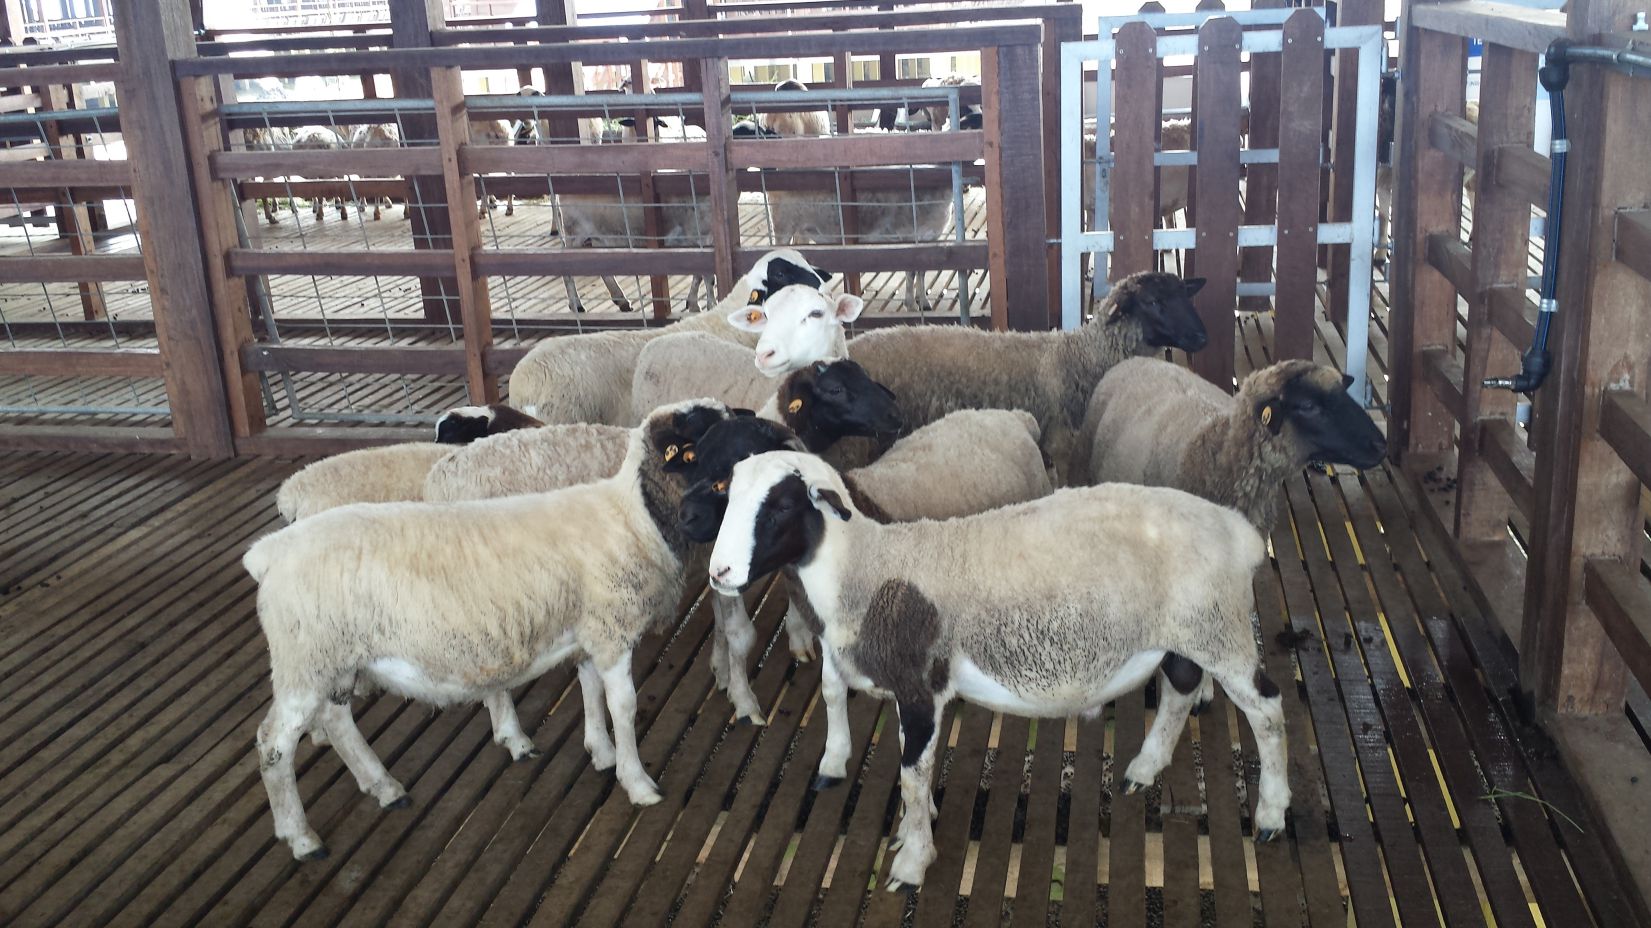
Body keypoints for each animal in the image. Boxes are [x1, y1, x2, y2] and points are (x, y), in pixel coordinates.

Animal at [246, 399, 741, 860]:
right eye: (702, 437)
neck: (635, 516)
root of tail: (268, 553)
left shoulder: (586, 628)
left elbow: (589, 688)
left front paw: (600, 751)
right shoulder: (611, 630)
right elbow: (624, 706)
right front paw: (637, 783)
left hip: (332, 658)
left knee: (336, 719)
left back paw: (384, 788)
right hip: (305, 659)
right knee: (274, 744)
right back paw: (301, 838)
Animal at [706, 450, 1288, 890]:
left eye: (781, 507)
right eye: (728, 497)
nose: (719, 573)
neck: (867, 571)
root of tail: (1238, 531)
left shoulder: (921, 688)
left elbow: (911, 776)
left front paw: (911, 865)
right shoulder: (911, 691)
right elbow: (916, 771)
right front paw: (911, 833)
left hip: (1222, 630)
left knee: (1267, 709)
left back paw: (1271, 814)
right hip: (1187, 634)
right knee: (1182, 689)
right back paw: (1144, 768)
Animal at [758, 80, 953, 312]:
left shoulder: (928, 238)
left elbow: (922, 271)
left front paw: (923, 301)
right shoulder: (907, 235)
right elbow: (911, 271)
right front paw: (911, 304)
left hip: (801, 227)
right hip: (783, 226)